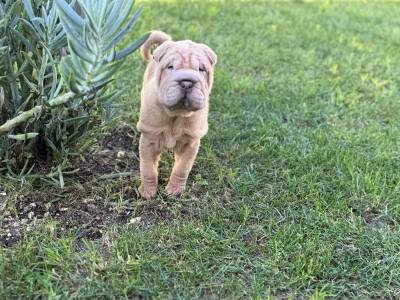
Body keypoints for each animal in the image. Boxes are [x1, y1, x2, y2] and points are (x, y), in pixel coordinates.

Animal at [138, 31, 219, 199]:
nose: (187, 82)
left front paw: (174, 190)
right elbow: (148, 169)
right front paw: (148, 192)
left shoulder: (191, 143)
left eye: (201, 69)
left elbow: (182, 169)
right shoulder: (149, 139)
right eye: (170, 67)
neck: (177, 114)